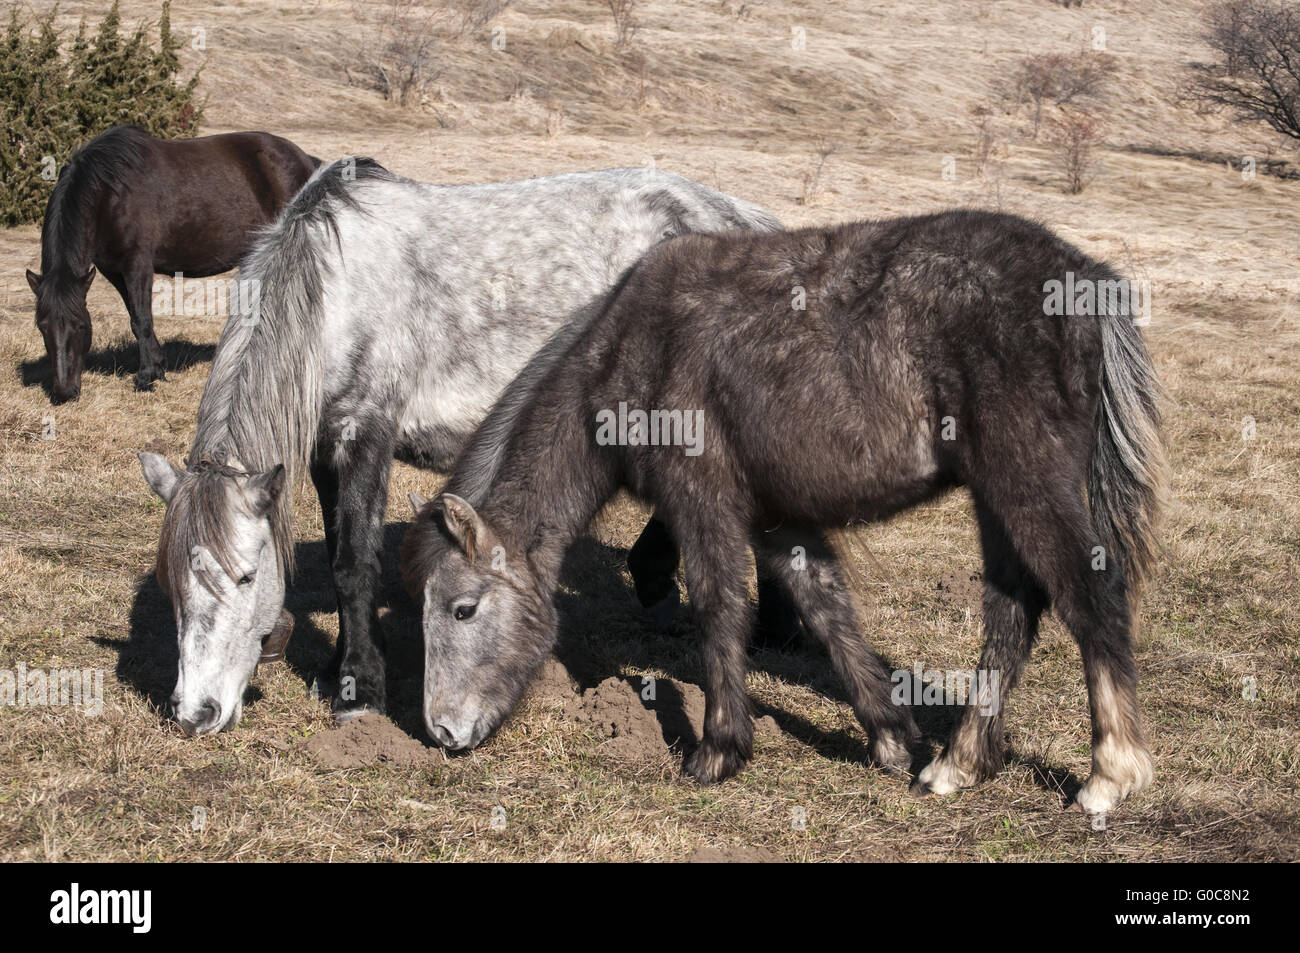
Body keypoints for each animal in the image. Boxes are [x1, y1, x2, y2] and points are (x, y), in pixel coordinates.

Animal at [26, 124, 319, 400]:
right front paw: (157, 366)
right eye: (42, 327)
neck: (109, 194)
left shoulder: (137, 264)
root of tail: (305, 159)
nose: (64, 392)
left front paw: (146, 377)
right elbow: (134, 316)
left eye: (81, 326)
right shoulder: (113, 270)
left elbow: (141, 319)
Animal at [139, 159, 780, 733]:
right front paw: (336, 670)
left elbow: (353, 562)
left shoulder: (366, 433)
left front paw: (360, 689)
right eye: (173, 586)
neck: (337, 291)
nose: (195, 714)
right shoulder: (324, 449)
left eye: (247, 577)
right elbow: (338, 551)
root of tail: (746, 220)